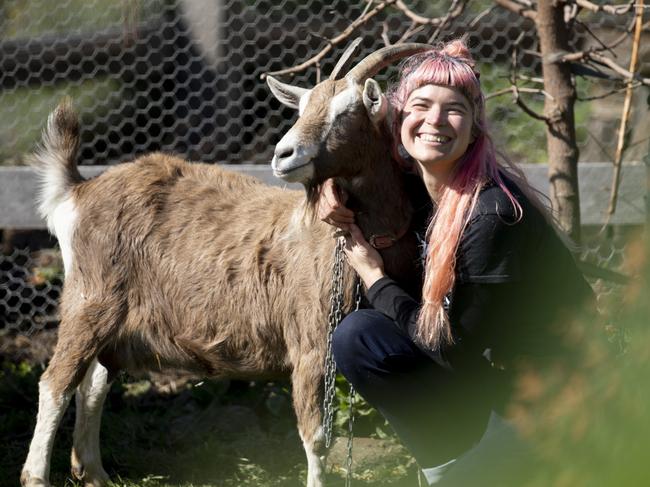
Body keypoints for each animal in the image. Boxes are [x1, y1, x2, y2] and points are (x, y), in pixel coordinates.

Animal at [20, 43, 428, 487]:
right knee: (56, 382)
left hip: (114, 319)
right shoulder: (311, 341)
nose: (283, 155)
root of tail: (77, 190)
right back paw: (37, 477)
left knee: (92, 383)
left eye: (346, 110)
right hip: (88, 301)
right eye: (302, 108)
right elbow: (317, 437)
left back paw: (95, 474)